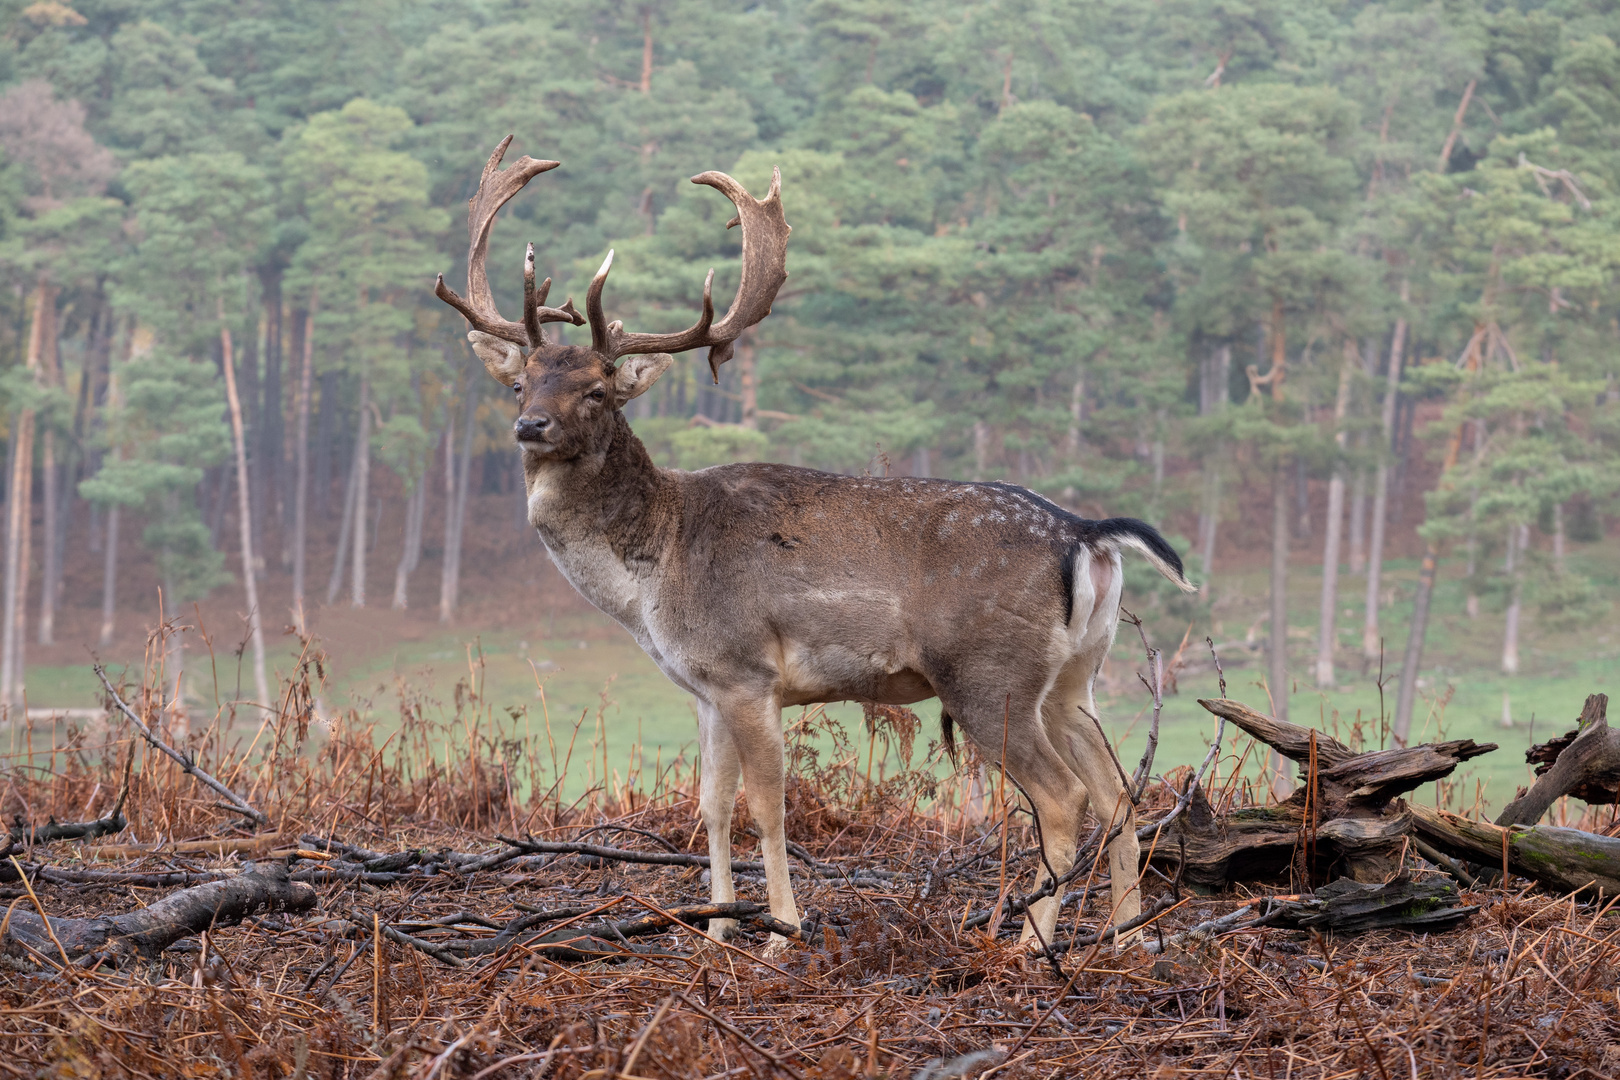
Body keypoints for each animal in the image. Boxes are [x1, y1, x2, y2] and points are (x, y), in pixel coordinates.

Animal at [437, 135, 1198, 952]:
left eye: (597, 390)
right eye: (521, 385)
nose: (530, 427)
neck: (653, 578)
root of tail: (1087, 535)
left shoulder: (748, 672)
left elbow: (767, 807)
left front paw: (778, 932)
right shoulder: (704, 687)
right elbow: (710, 805)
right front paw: (714, 933)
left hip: (989, 674)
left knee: (1064, 798)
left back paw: (1033, 944)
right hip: (1073, 676)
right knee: (1118, 789)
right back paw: (1128, 936)